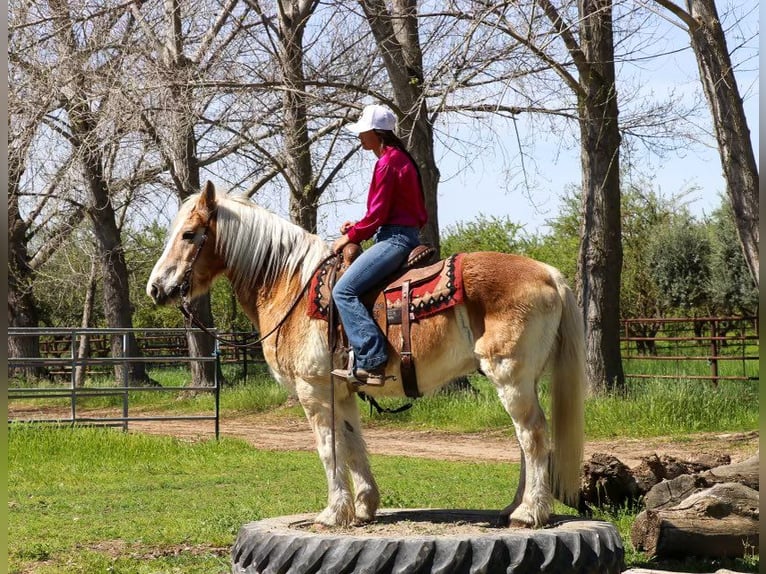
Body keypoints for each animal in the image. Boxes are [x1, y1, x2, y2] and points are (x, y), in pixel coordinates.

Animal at [146, 181, 588, 532]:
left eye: (189, 234)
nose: (156, 288)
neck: (290, 285)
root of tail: (548, 273)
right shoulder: (340, 391)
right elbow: (353, 443)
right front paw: (361, 507)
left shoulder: (313, 390)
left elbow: (328, 447)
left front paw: (332, 513)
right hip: (520, 381)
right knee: (524, 439)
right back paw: (513, 507)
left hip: (510, 375)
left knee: (532, 436)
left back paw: (529, 513)